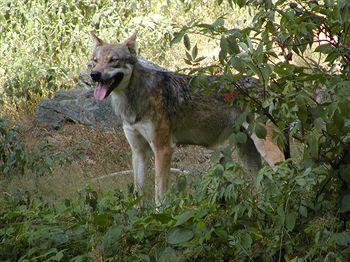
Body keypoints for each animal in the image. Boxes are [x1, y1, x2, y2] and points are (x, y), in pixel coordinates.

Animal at [90, 31, 284, 206]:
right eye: (95, 61)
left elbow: (159, 195)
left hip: (265, 149)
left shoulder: (163, 149)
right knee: (264, 184)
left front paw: (160, 216)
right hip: (248, 156)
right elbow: (138, 194)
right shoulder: (138, 152)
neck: (134, 99)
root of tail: (271, 89)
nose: (94, 75)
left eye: (113, 60)